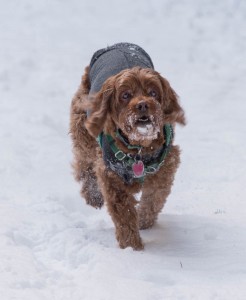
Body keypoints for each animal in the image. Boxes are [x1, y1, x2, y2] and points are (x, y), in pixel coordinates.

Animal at [69, 41, 184, 248]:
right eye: (125, 95)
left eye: (153, 93)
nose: (143, 105)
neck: (139, 147)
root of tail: (117, 45)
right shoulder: (111, 176)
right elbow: (124, 215)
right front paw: (132, 247)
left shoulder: (166, 165)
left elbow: (154, 197)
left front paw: (144, 221)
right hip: (83, 124)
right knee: (84, 161)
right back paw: (93, 194)